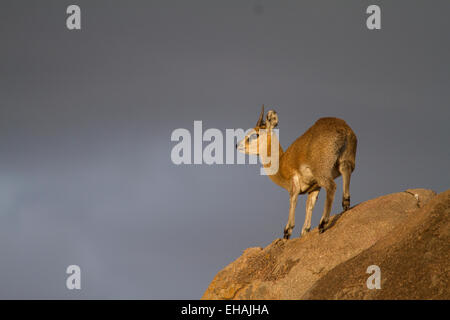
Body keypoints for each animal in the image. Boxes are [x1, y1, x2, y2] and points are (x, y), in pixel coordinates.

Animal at [237, 106, 356, 239]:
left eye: (255, 134)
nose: (237, 145)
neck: (281, 162)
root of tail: (342, 128)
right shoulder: (314, 187)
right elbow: (310, 205)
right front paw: (305, 230)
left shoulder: (294, 182)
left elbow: (293, 200)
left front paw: (287, 230)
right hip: (345, 161)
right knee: (346, 170)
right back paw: (345, 204)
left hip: (322, 173)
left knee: (331, 187)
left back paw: (323, 223)